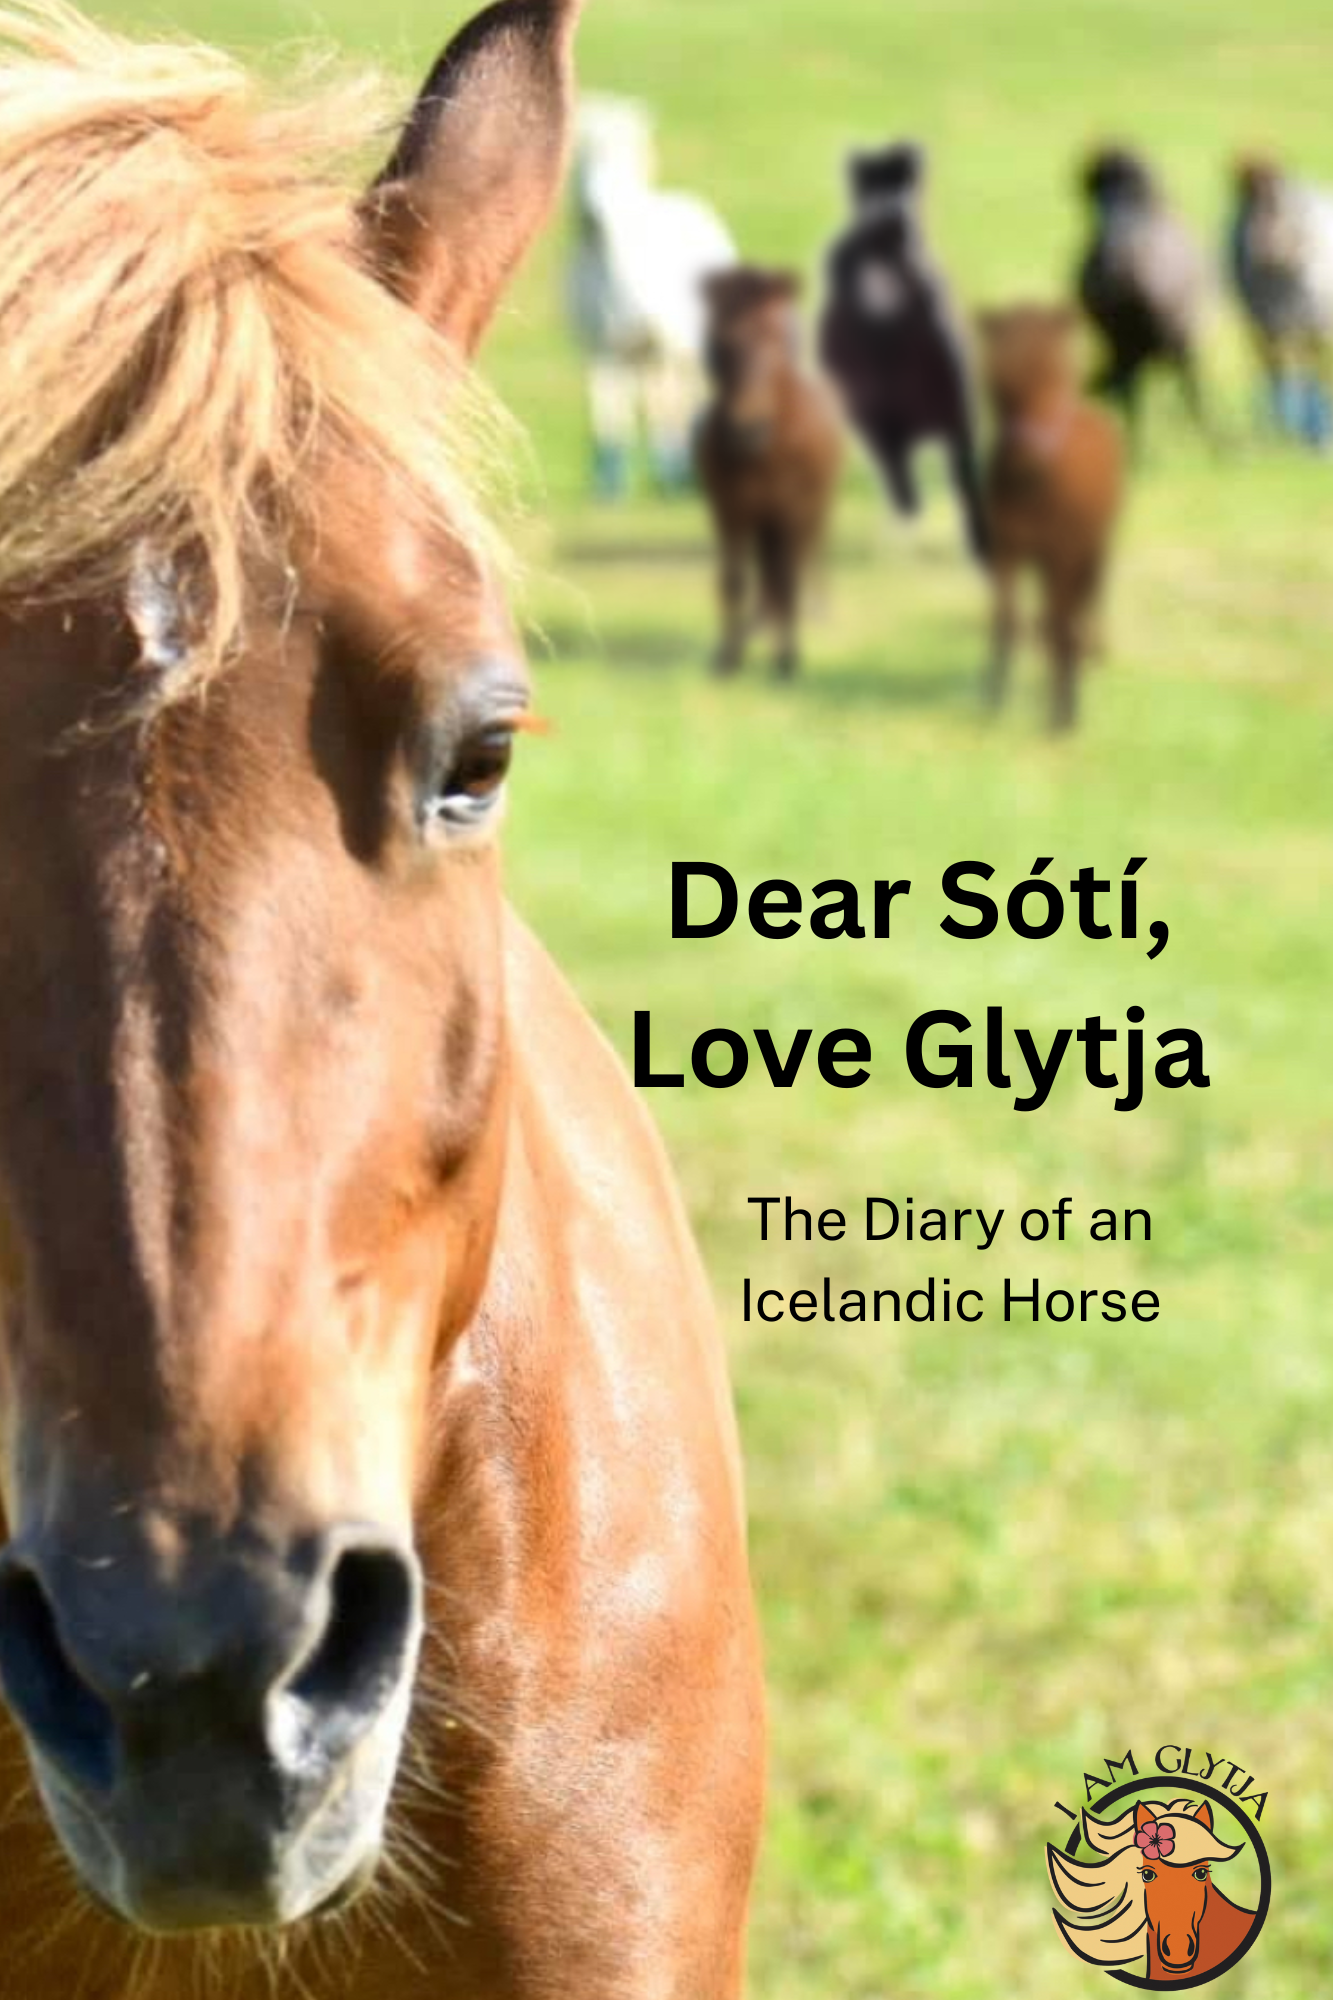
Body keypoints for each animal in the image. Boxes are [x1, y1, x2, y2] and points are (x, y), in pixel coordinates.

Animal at [567, 94, 737, 498]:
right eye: (583, 158)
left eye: (624, 158)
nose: (593, 214)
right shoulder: (598, 346)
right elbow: (605, 407)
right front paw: (607, 482)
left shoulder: (660, 345)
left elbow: (664, 405)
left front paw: (670, 472)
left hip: (683, 347)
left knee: (682, 396)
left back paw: (682, 469)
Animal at [695, 267, 843, 679]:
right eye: (722, 340)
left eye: (776, 339)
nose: (746, 429)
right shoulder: (730, 512)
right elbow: (733, 581)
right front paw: (728, 658)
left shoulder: (791, 512)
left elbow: (787, 580)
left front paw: (787, 662)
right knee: (767, 582)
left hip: (810, 514)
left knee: (795, 571)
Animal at [818, 141, 988, 562]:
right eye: (872, 182)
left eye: (904, 178)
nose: (893, 209)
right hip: (879, 423)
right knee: (903, 481)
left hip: (950, 412)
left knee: (961, 476)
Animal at [976, 303, 1124, 730]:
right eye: (998, 382)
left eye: (1060, 374)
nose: (1033, 454)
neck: (1033, 483)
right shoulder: (1006, 551)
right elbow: (1006, 621)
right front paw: (992, 702)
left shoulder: (1064, 554)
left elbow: (1062, 625)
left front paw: (1063, 716)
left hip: (1094, 548)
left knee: (1085, 603)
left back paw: (1090, 655)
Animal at [1229, 153, 1333, 447]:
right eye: (1247, 208)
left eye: (1278, 205)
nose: (1257, 246)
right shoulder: (1265, 326)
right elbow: (1279, 374)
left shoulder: (1316, 325)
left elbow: (1317, 375)